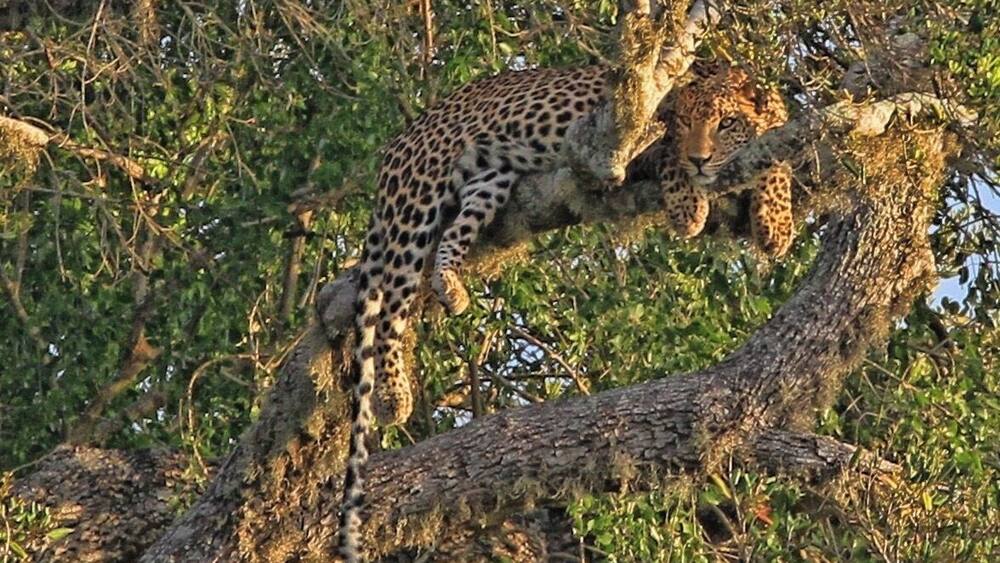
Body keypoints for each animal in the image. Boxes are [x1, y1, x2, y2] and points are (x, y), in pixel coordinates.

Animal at [337, 60, 793, 562]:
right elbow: (669, 161)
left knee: (452, 236)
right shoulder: (637, 152)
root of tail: (404, 135)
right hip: (416, 200)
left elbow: (779, 163)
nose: (700, 159)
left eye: (726, 123)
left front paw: (776, 222)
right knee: (389, 306)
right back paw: (393, 394)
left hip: (487, 181)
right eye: (684, 124)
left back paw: (451, 286)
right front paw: (690, 204)